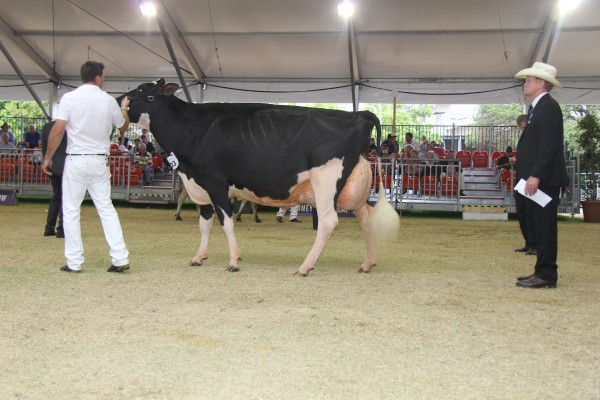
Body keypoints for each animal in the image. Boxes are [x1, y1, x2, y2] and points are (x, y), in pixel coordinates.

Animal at [117, 79, 398, 276]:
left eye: (145, 92)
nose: (119, 97)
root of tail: (359, 114)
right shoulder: (200, 186)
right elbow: (204, 224)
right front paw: (199, 257)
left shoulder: (216, 183)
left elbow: (226, 222)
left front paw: (233, 261)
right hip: (353, 190)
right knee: (367, 220)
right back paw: (367, 263)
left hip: (326, 182)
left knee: (328, 222)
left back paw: (305, 267)